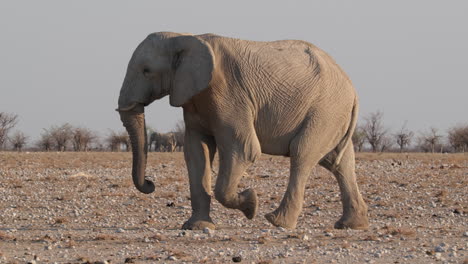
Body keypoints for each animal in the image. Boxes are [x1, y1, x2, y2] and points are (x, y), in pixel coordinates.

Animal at [117, 31, 370, 230]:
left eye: (146, 70)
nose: (150, 183)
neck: (185, 38)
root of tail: (353, 88)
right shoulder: (194, 97)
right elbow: (196, 152)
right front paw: (196, 227)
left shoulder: (230, 95)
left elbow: (244, 149)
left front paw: (251, 204)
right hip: (333, 114)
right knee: (339, 163)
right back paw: (350, 225)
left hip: (326, 109)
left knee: (302, 153)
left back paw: (277, 221)